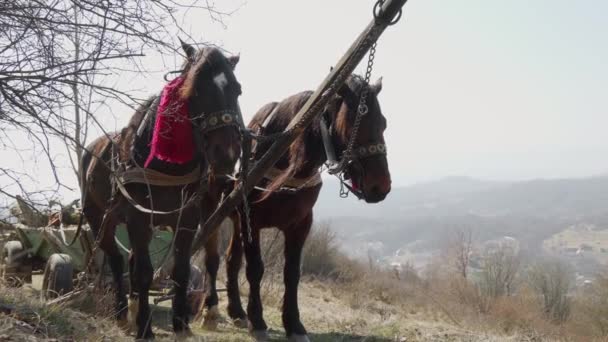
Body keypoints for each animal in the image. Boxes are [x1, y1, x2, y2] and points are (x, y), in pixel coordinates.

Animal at [81, 42, 242, 340]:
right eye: (195, 90)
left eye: (237, 89)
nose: (226, 154)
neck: (167, 165)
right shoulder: (139, 219)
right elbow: (144, 272)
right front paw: (145, 327)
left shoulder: (186, 220)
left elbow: (180, 270)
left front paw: (180, 325)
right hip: (99, 220)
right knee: (117, 260)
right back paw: (123, 314)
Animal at [202, 73, 392, 340]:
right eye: (355, 123)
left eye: (382, 123)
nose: (380, 185)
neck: (280, 156)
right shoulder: (253, 221)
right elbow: (255, 269)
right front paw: (258, 320)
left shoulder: (300, 224)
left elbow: (292, 273)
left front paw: (293, 323)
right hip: (213, 210)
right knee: (211, 256)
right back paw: (210, 307)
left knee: (231, 260)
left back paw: (237, 310)